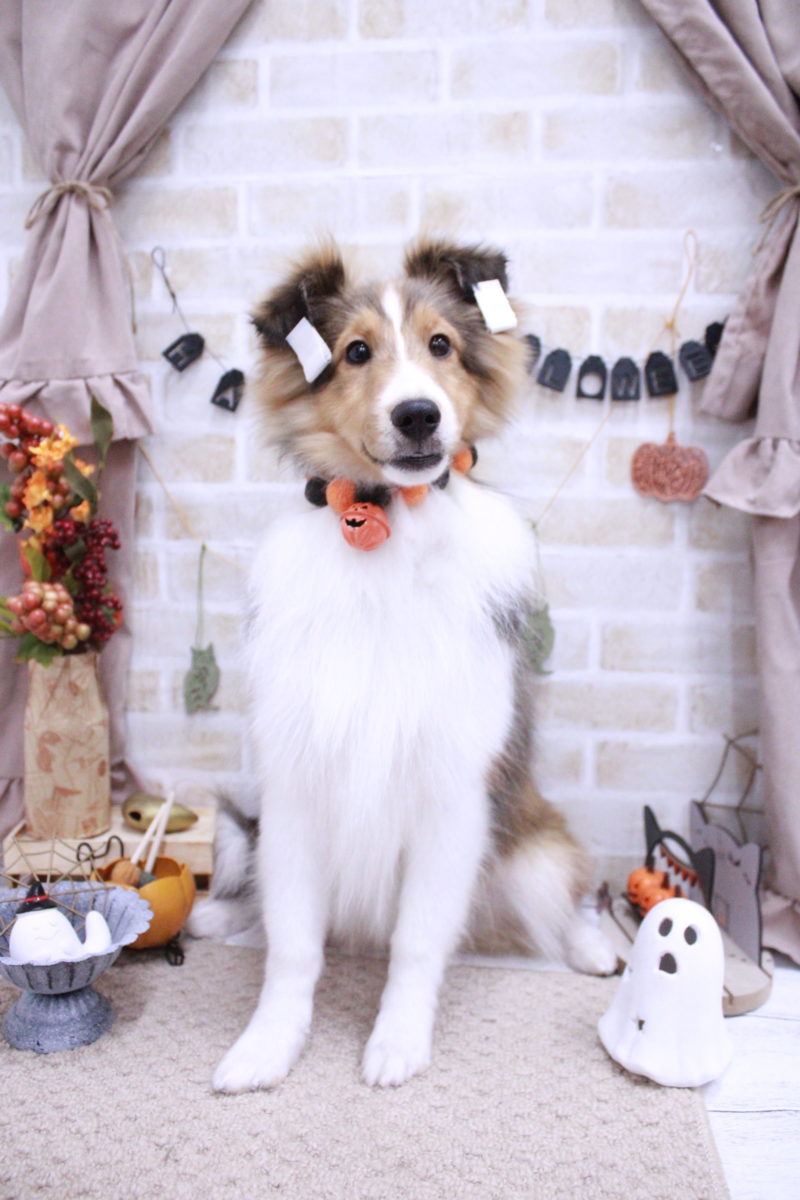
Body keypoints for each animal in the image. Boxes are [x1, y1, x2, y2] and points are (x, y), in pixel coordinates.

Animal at [188, 238, 617, 1093]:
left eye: (440, 345)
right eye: (355, 352)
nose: (418, 414)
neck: (381, 528)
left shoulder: (450, 795)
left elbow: (418, 943)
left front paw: (396, 1043)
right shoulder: (297, 788)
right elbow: (292, 948)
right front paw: (266, 1045)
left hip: (531, 841)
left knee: (560, 896)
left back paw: (593, 947)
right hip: (250, 832)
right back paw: (218, 912)